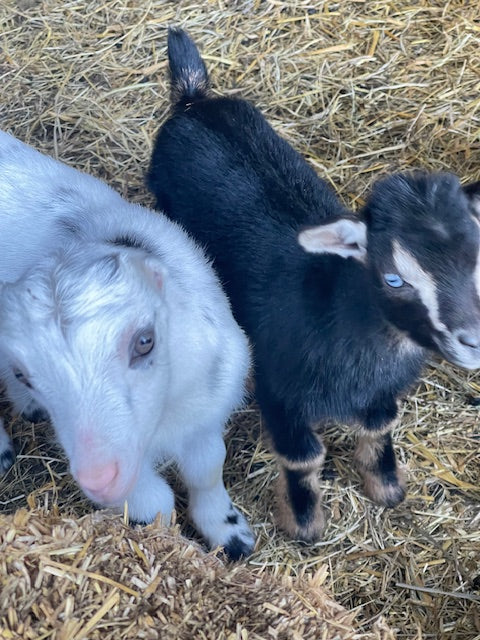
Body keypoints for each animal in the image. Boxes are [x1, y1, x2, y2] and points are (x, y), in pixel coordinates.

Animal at [0, 129, 255, 559]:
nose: (99, 478)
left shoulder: (205, 414)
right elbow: (156, 504)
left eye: (145, 341)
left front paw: (230, 534)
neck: (166, 415)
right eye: (25, 373)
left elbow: (206, 470)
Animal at [147, 28, 480, 541]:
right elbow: (303, 457)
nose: (472, 340)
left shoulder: (379, 393)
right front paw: (303, 521)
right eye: (393, 276)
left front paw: (386, 486)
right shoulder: (280, 390)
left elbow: (379, 428)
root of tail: (192, 99)